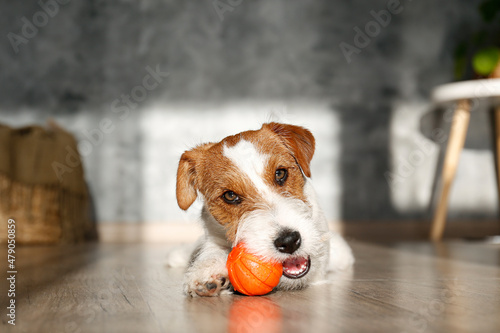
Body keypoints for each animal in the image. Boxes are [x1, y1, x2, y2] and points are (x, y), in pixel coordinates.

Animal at [174, 121, 354, 296]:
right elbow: (212, 250)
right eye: (230, 195)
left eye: (280, 173)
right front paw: (206, 271)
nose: (289, 241)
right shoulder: (213, 235)